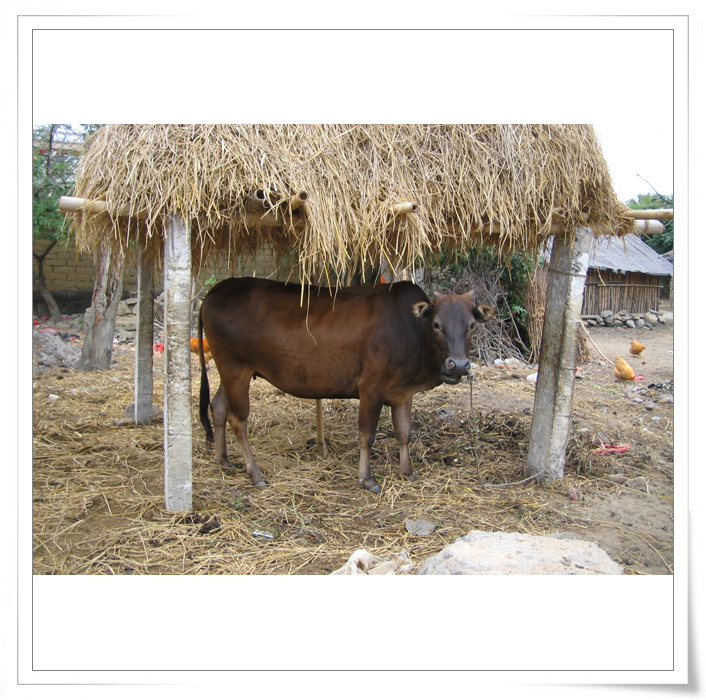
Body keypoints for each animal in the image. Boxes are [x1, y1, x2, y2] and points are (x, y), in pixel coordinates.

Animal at [198, 277, 497, 493]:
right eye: (436, 323)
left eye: (472, 325)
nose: (458, 365)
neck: (410, 331)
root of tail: (214, 292)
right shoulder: (371, 388)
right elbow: (367, 435)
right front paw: (367, 479)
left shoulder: (402, 393)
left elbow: (404, 433)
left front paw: (407, 472)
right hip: (235, 368)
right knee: (238, 419)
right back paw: (255, 474)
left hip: (231, 371)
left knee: (218, 407)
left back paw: (224, 461)